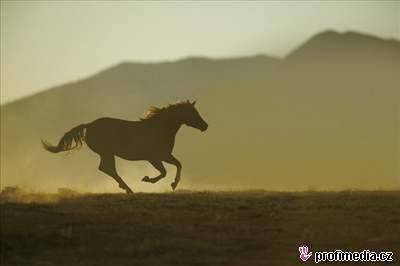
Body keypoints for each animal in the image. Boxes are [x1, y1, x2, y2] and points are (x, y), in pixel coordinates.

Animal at [41, 100, 208, 193]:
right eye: (193, 113)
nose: (205, 126)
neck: (159, 128)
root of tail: (88, 125)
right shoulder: (154, 157)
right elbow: (164, 172)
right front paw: (147, 179)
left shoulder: (164, 156)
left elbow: (178, 164)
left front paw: (174, 184)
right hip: (107, 152)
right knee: (106, 168)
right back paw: (128, 189)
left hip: (107, 153)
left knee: (106, 168)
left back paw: (125, 187)